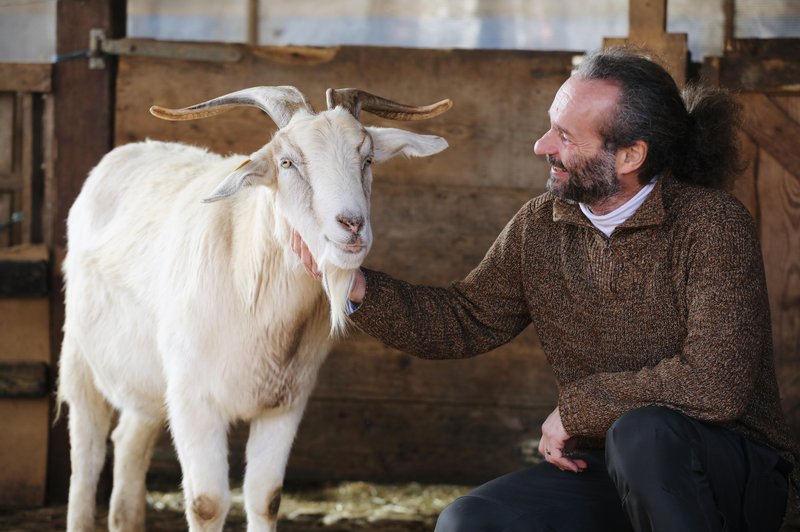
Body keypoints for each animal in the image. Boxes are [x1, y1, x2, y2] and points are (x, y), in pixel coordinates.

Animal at [57, 85, 450, 528]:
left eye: (366, 160)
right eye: (286, 162)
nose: (351, 225)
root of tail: (126, 153)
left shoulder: (284, 404)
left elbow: (266, 497)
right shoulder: (194, 401)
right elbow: (207, 503)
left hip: (148, 384)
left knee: (128, 442)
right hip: (81, 360)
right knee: (86, 457)